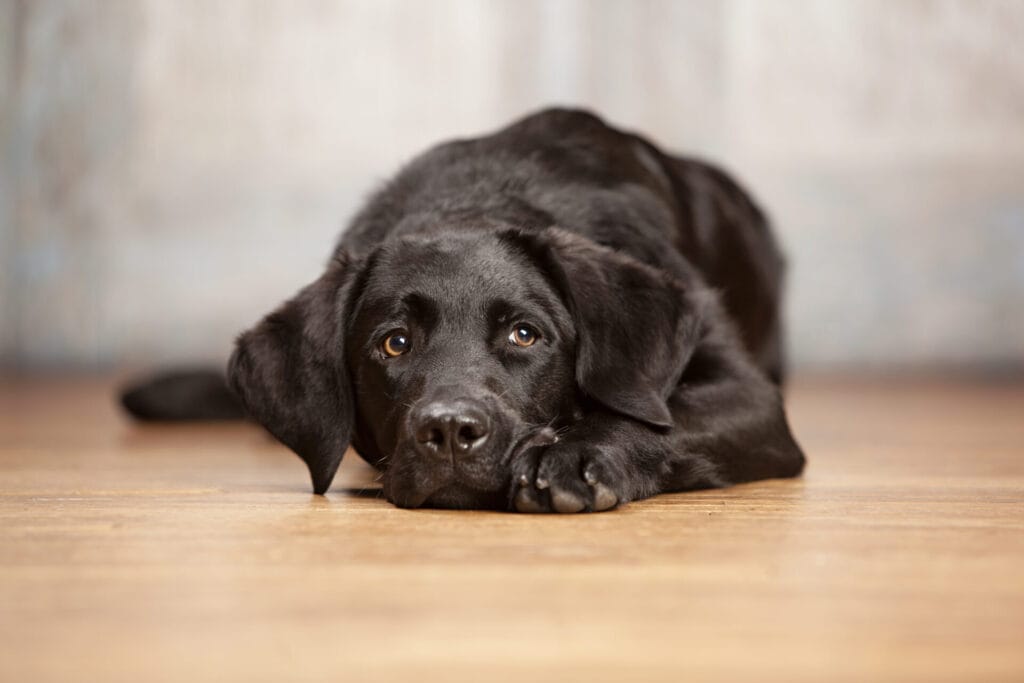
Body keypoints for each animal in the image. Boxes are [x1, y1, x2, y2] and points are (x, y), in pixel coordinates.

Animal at [121, 108, 806, 511]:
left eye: (525, 335)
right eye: (394, 342)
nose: (449, 430)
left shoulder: (751, 396)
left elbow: (654, 419)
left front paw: (574, 455)